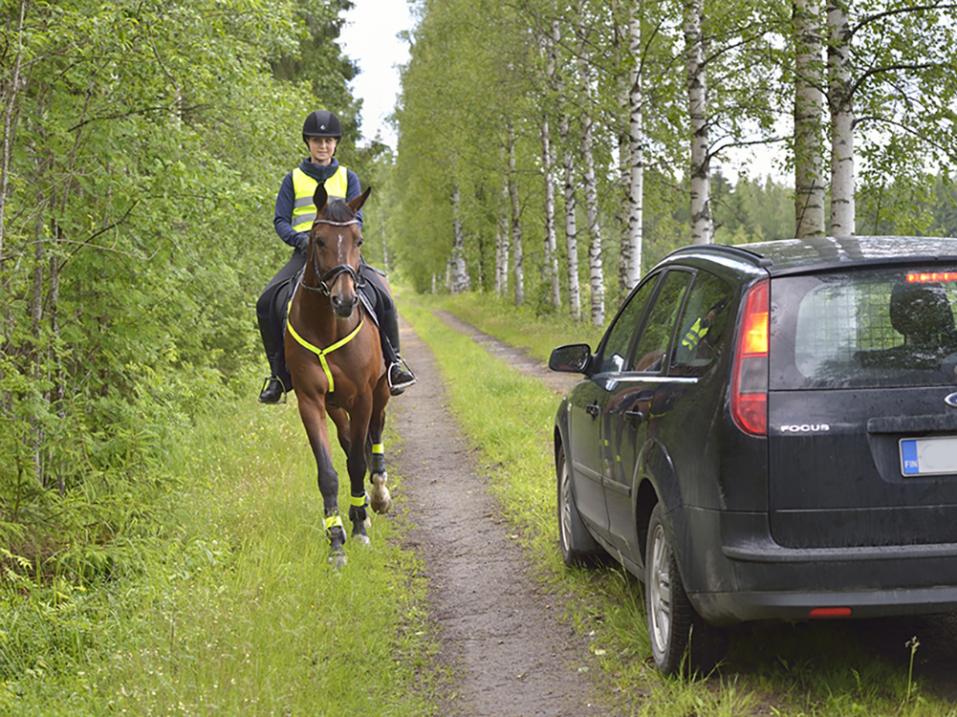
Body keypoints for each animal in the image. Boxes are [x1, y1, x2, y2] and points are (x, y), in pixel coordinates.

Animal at [282, 183, 390, 564]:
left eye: (358, 239)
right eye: (318, 240)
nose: (344, 301)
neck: (327, 326)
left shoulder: (363, 398)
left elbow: (358, 462)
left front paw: (358, 529)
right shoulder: (311, 401)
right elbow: (329, 471)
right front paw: (336, 540)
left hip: (381, 393)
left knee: (375, 436)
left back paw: (379, 495)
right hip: (334, 404)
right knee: (346, 441)